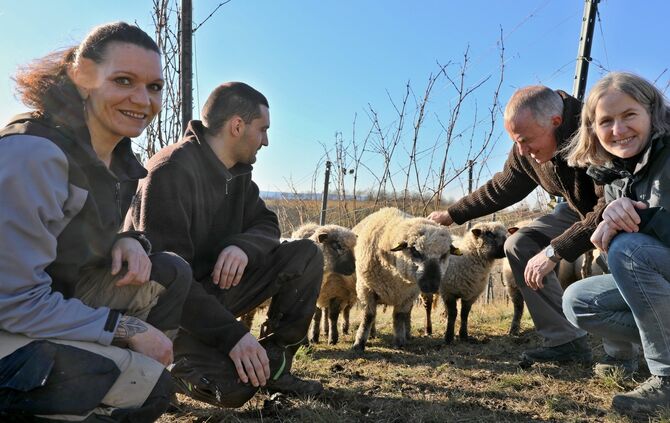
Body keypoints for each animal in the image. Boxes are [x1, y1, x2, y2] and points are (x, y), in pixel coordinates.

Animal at [351, 207, 457, 351]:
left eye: (444, 255)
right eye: (415, 251)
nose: (431, 285)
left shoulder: (407, 295)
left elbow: (399, 316)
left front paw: (399, 341)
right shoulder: (365, 288)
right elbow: (368, 316)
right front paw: (359, 343)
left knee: (408, 314)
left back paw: (407, 334)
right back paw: (372, 334)